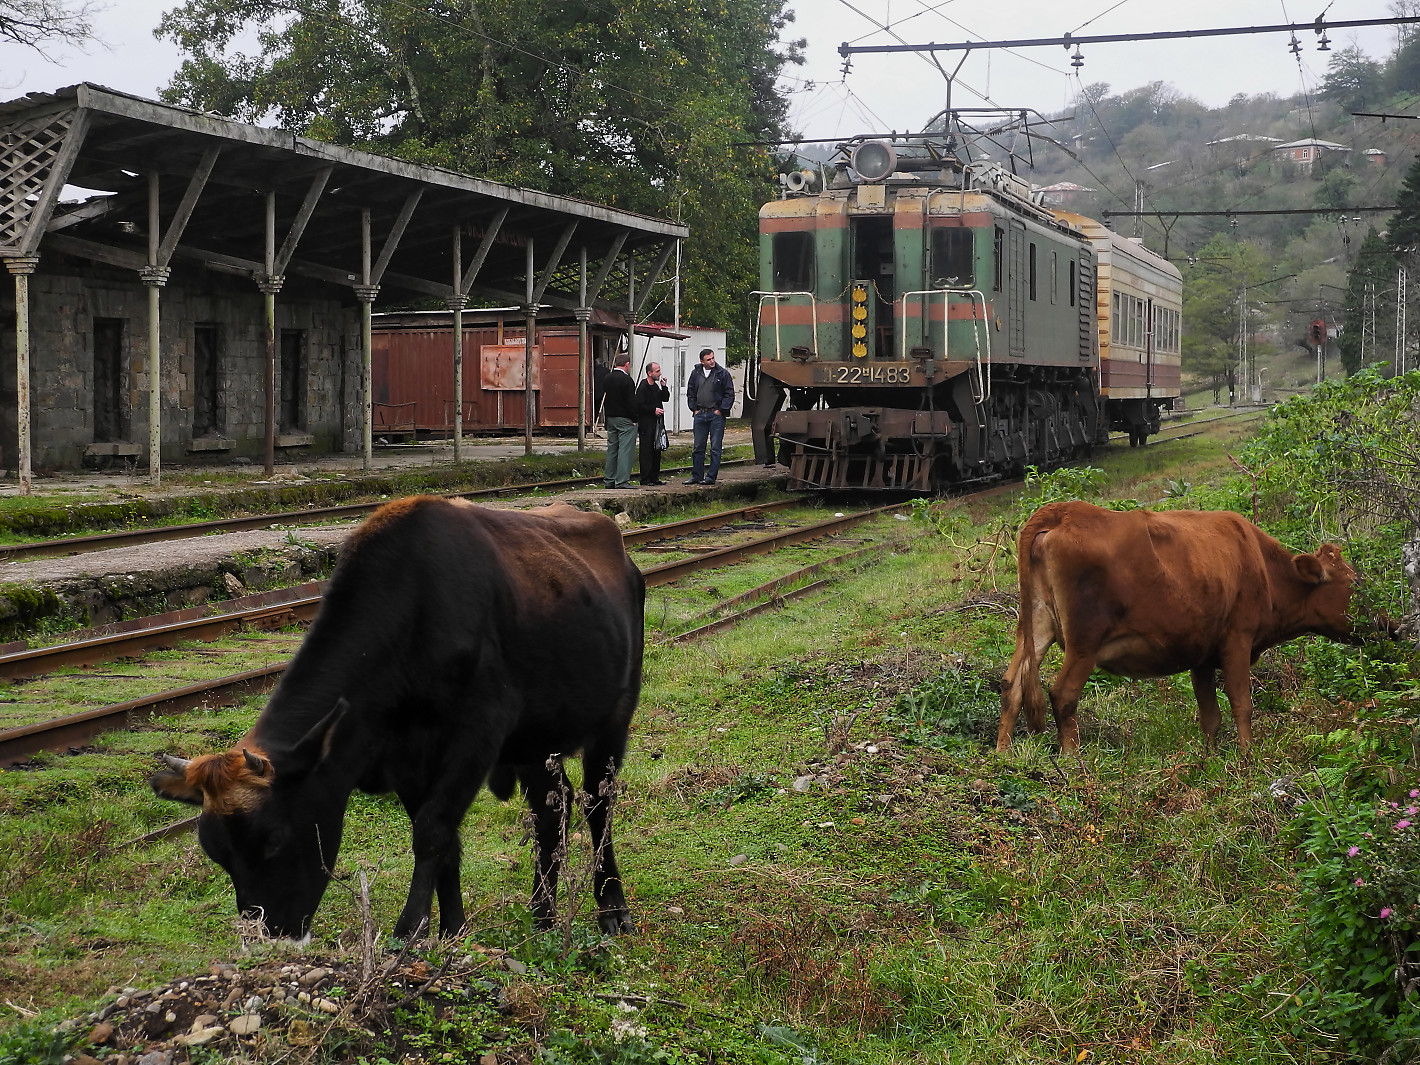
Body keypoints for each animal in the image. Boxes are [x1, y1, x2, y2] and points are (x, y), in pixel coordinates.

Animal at [151, 499, 644, 942]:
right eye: (217, 853)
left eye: (274, 838)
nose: (269, 933)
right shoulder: (404, 757)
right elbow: (445, 841)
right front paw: (452, 930)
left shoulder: (477, 734)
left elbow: (432, 831)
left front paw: (410, 931)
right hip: (536, 738)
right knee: (550, 807)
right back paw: (542, 915)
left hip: (613, 717)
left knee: (598, 802)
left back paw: (612, 908)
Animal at [999, 505, 1351, 755]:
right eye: (1353, 583)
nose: (1371, 626)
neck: (1262, 565)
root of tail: (1063, 511)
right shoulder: (1237, 639)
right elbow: (1242, 704)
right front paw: (1248, 757)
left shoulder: (1202, 655)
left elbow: (1210, 716)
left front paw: (1209, 759)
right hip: (1084, 643)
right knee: (1063, 695)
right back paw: (1074, 762)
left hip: (1035, 625)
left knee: (1012, 685)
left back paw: (1004, 755)